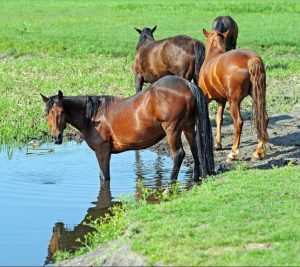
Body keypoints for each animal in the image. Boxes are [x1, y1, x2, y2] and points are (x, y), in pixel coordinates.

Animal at [41, 75, 214, 182]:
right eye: (46, 113)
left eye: (61, 111)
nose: (56, 137)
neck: (93, 117)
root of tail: (186, 84)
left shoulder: (102, 152)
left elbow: (105, 177)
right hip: (188, 127)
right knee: (195, 150)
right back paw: (195, 178)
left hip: (172, 130)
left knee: (178, 154)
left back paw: (171, 181)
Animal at [199, 30, 270, 162]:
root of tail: (251, 59)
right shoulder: (222, 101)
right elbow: (219, 119)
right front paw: (218, 144)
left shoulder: (205, 98)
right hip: (256, 96)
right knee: (264, 118)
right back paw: (258, 151)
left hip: (234, 101)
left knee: (238, 123)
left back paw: (233, 153)